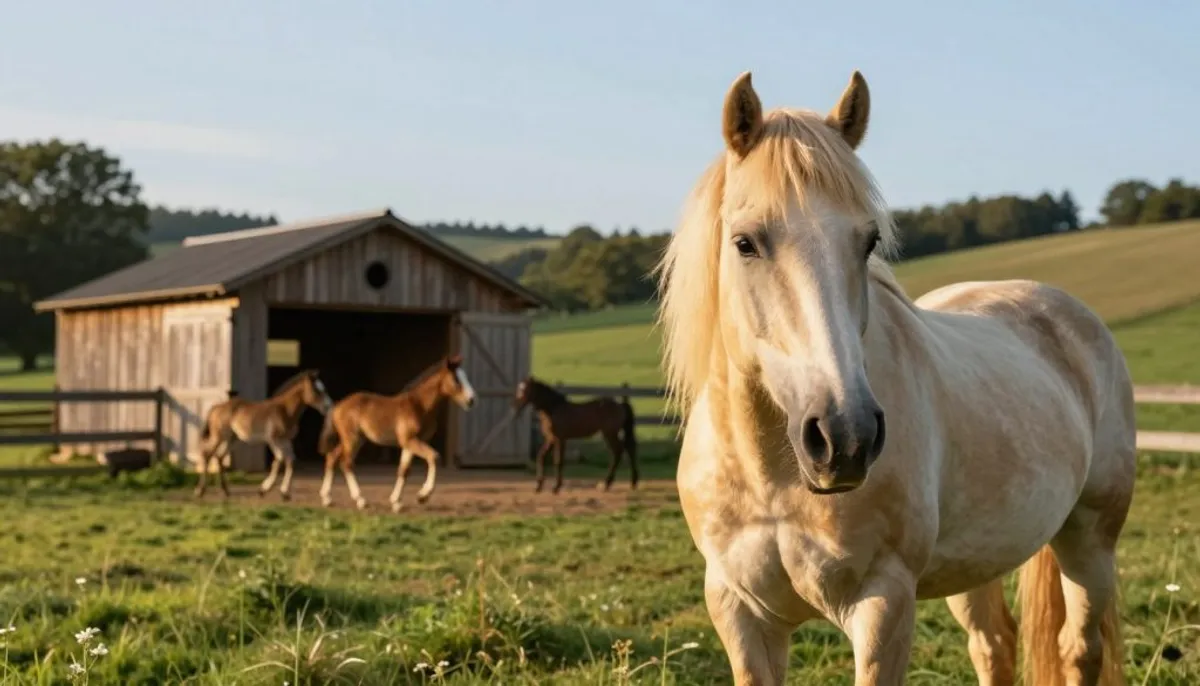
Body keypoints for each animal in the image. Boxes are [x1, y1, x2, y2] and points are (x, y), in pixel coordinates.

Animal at [194, 369, 333, 501]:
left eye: (324, 389)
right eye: (317, 390)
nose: (328, 406)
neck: (284, 410)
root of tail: (216, 407)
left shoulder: (285, 440)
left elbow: (290, 460)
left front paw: (285, 493)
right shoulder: (273, 440)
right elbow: (279, 460)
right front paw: (264, 490)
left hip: (232, 439)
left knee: (219, 457)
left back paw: (225, 491)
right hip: (220, 437)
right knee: (207, 454)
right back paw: (200, 491)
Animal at [317, 354, 477, 512]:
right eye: (456, 379)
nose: (471, 400)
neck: (419, 406)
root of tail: (338, 405)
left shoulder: (409, 443)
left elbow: (403, 470)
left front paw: (396, 502)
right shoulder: (410, 440)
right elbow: (434, 457)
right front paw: (422, 496)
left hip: (353, 439)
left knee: (332, 458)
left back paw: (327, 499)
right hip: (352, 439)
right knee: (346, 463)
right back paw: (361, 500)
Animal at [655, 70, 1134, 686]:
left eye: (868, 242)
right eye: (745, 242)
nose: (846, 438)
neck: (771, 480)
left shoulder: (883, 603)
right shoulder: (739, 610)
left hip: (1090, 539)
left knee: (1078, 647)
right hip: (976, 561)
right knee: (994, 645)